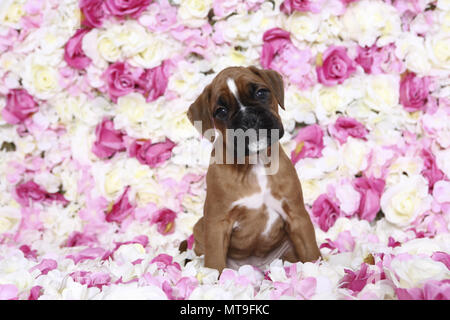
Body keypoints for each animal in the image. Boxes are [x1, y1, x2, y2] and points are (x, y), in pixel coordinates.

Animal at [183, 65, 320, 272]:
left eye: (261, 93)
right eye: (221, 111)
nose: (248, 118)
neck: (255, 163)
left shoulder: (297, 216)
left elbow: (311, 252)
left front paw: (321, 271)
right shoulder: (216, 224)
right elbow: (215, 263)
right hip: (200, 227)